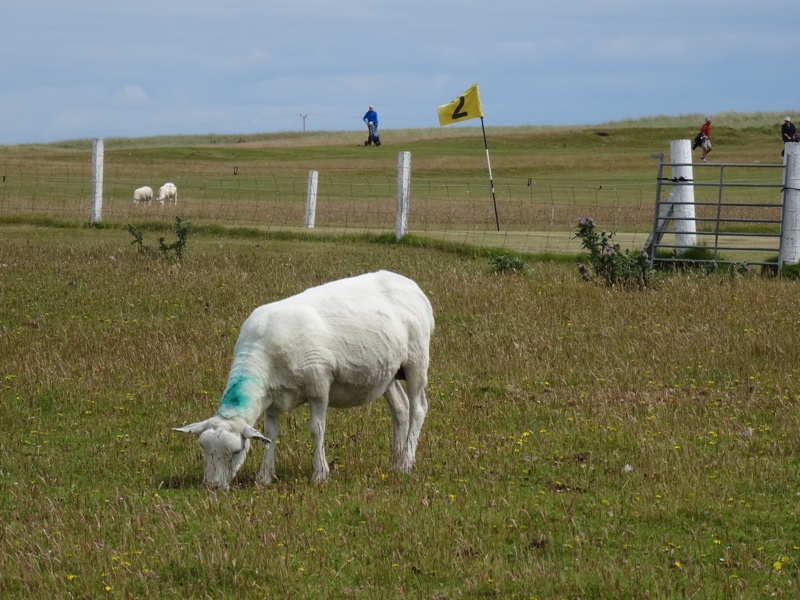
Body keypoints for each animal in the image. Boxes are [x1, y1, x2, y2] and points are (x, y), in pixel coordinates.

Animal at [175, 270, 434, 490]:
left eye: (237, 451)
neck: (261, 358)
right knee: (400, 408)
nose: (212, 487)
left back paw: (406, 462)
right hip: (388, 371)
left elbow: (316, 430)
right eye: (203, 450)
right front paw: (264, 477)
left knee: (418, 408)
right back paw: (395, 462)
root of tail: (413, 286)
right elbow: (270, 434)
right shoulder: (272, 401)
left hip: (416, 360)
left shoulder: (319, 387)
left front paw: (319, 475)